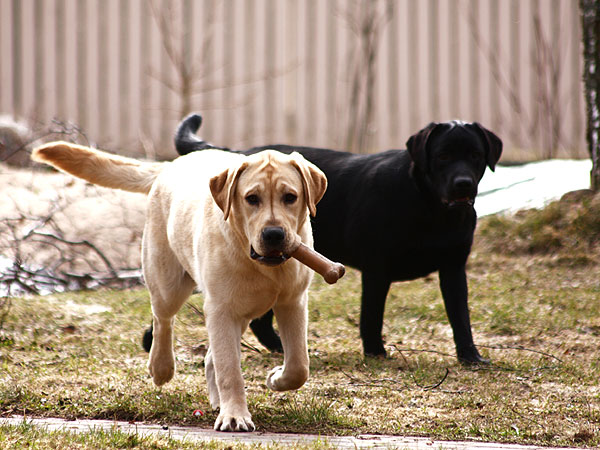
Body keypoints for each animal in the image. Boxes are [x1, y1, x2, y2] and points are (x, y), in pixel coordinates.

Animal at [30, 142, 326, 430]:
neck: (262, 264)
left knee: (210, 356)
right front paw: (235, 416)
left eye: (290, 197)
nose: (274, 234)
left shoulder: (292, 302)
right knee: (163, 321)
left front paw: (276, 378)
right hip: (168, 284)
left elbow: (299, 366)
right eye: (252, 198)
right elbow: (230, 369)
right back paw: (161, 368)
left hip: (238, 308)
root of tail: (170, 165)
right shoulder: (220, 308)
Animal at [144, 114, 502, 364]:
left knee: (260, 321)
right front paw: (375, 352)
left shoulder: (454, 269)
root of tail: (237, 154)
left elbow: (461, 317)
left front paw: (470, 356)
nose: (463, 184)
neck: (430, 208)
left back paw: (280, 347)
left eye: (475, 155)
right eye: (442, 156)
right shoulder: (377, 270)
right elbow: (371, 317)